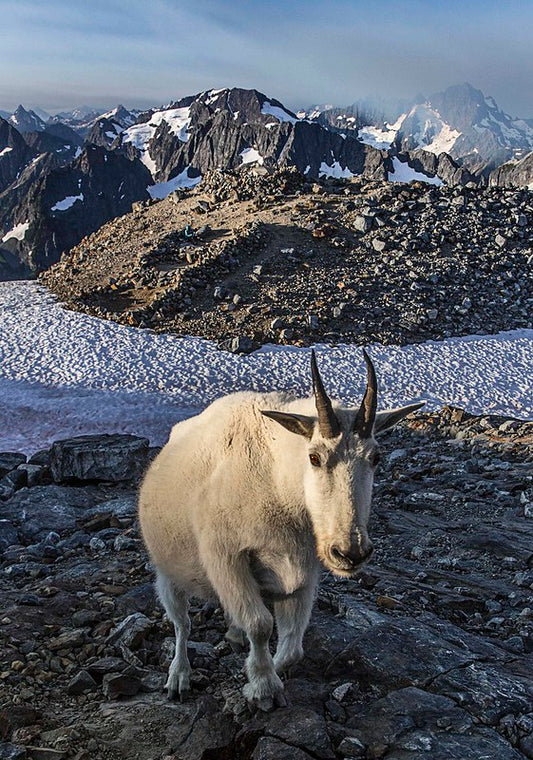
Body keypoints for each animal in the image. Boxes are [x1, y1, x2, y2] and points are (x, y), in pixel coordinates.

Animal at [138, 350, 423, 709]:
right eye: (314, 457)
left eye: (376, 457)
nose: (350, 552)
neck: (279, 483)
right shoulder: (227, 558)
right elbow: (260, 625)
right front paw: (263, 688)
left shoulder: (305, 568)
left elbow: (293, 645)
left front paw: (265, 672)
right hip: (167, 570)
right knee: (181, 623)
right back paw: (179, 677)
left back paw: (231, 636)